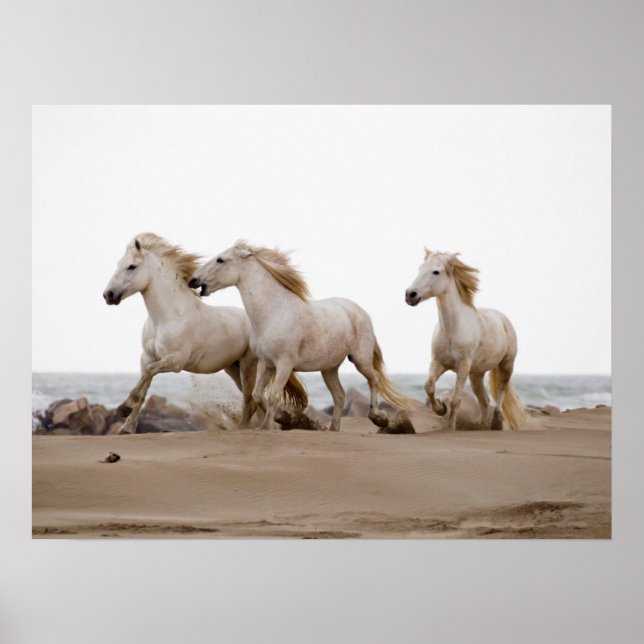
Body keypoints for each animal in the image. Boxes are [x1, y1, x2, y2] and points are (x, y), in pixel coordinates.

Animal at [102, 233, 307, 434]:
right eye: (119, 264)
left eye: (131, 266)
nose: (108, 295)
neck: (167, 317)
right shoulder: (147, 358)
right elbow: (144, 385)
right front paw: (127, 427)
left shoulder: (175, 361)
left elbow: (148, 375)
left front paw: (123, 408)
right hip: (234, 368)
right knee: (255, 400)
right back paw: (279, 421)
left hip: (250, 366)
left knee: (251, 400)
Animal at [189, 241, 416, 432]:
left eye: (220, 259)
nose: (193, 280)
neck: (273, 312)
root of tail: (359, 311)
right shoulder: (265, 363)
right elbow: (258, 395)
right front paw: (283, 418)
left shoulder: (284, 364)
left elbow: (273, 396)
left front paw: (271, 426)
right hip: (329, 368)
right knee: (340, 395)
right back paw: (334, 429)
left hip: (360, 359)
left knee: (374, 379)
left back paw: (379, 419)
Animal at [405, 249, 527, 431]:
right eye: (420, 269)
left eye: (436, 272)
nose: (410, 295)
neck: (452, 329)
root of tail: (502, 318)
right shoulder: (438, 362)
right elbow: (429, 386)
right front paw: (441, 408)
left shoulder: (462, 367)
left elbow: (456, 400)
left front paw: (450, 427)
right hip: (476, 374)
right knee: (484, 401)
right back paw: (482, 426)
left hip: (506, 364)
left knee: (501, 391)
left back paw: (497, 421)